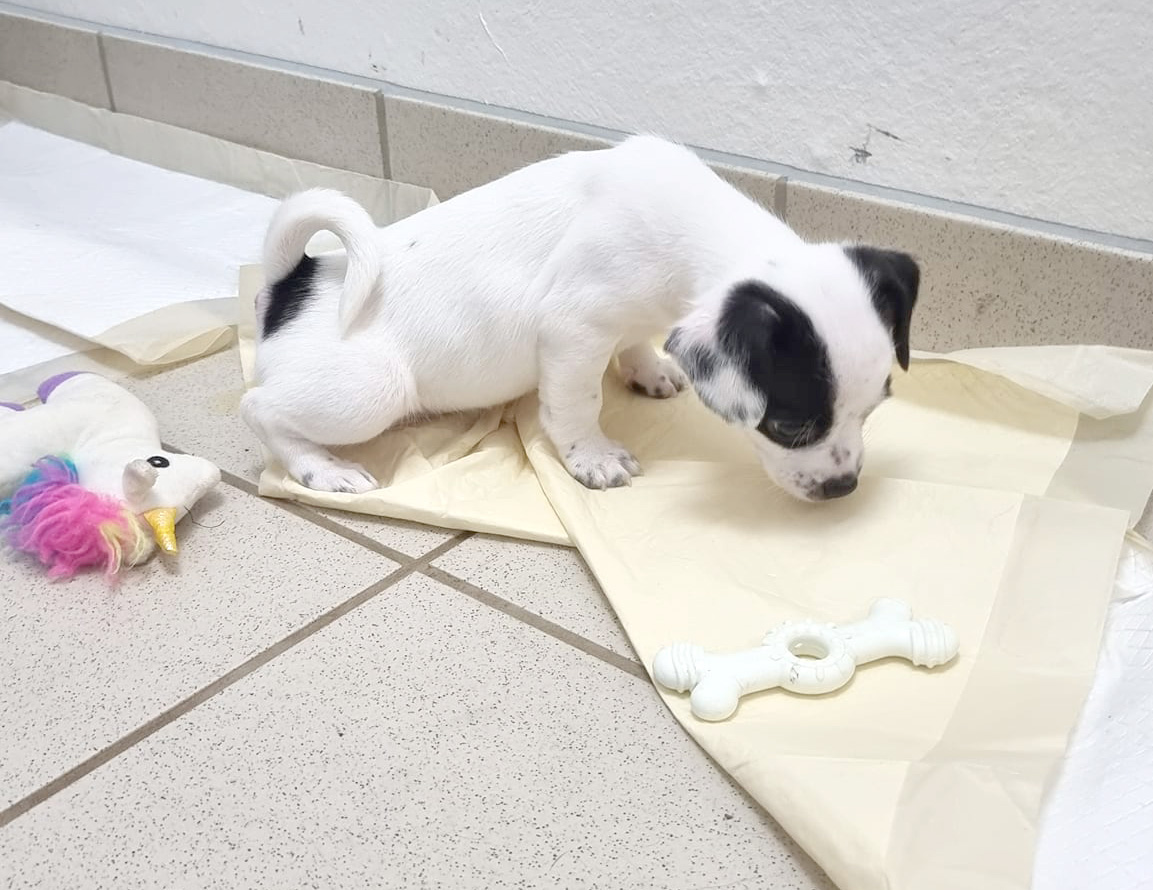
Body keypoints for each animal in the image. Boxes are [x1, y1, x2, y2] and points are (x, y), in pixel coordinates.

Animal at [243, 136, 917, 504]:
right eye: (790, 426)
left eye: (874, 410)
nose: (843, 488)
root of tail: (293, 284)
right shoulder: (574, 329)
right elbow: (577, 403)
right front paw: (591, 456)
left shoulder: (634, 315)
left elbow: (639, 340)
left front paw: (650, 369)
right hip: (371, 391)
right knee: (262, 409)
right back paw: (321, 469)